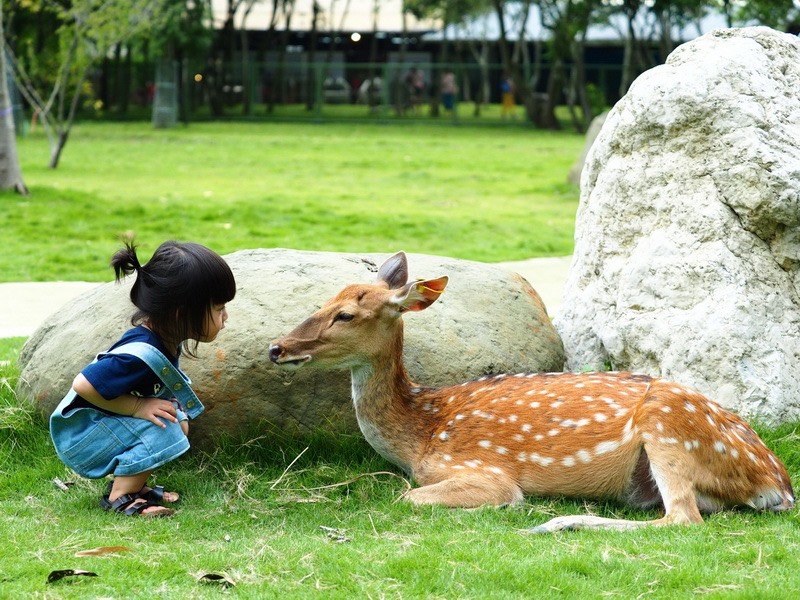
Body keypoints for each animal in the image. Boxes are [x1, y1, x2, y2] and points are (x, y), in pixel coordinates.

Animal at [268, 252, 794, 532]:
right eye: (324, 301)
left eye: (345, 315)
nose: (276, 348)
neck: (421, 433)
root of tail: (780, 485)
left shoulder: (483, 470)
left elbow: (407, 496)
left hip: (669, 427)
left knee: (682, 518)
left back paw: (556, 522)